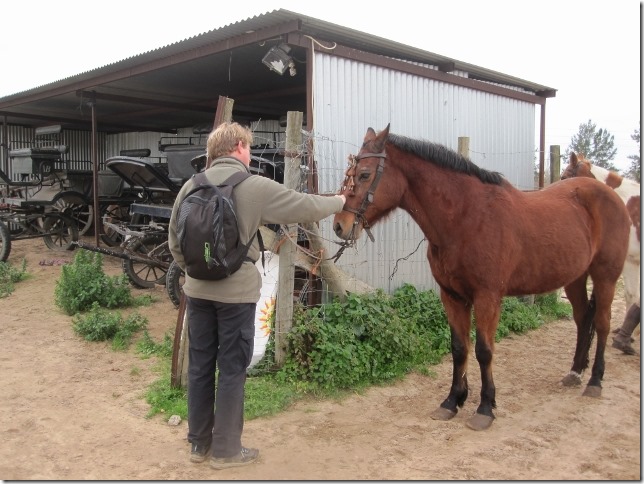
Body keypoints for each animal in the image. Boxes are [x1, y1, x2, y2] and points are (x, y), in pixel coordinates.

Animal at [332, 125, 628, 432]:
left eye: (364, 175)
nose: (339, 225)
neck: (466, 217)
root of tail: (610, 194)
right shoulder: (451, 296)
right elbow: (459, 348)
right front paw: (452, 401)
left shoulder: (487, 297)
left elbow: (484, 350)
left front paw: (485, 407)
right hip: (575, 278)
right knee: (583, 319)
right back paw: (575, 372)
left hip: (606, 277)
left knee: (603, 324)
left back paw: (595, 381)